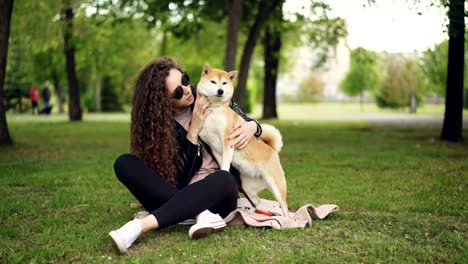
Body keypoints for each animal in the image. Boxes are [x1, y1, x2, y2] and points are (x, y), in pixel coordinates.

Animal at [197, 64, 288, 217]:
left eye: (224, 83)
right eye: (213, 82)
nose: (220, 91)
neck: (214, 109)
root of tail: (272, 150)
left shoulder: (228, 140)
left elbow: (226, 161)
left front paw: (224, 172)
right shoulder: (214, 147)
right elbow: (222, 161)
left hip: (275, 184)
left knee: (284, 206)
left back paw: (288, 220)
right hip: (248, 186)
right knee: (256, 201)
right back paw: (249, 213)